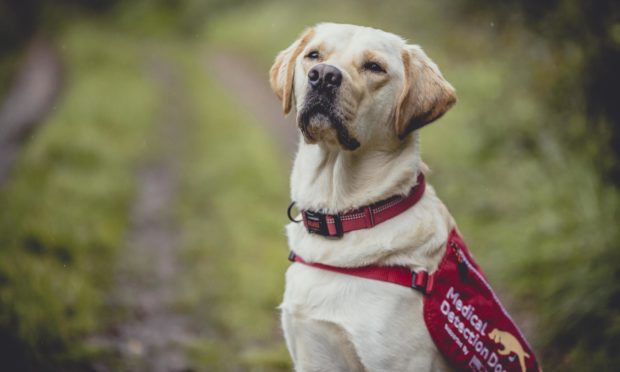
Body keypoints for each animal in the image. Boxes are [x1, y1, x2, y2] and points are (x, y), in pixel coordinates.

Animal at [268, 22, 458, 370]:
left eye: (374, 67)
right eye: (313, 55)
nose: (323, 76)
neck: (340, 216)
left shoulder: (400, 363)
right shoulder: (311, 352)